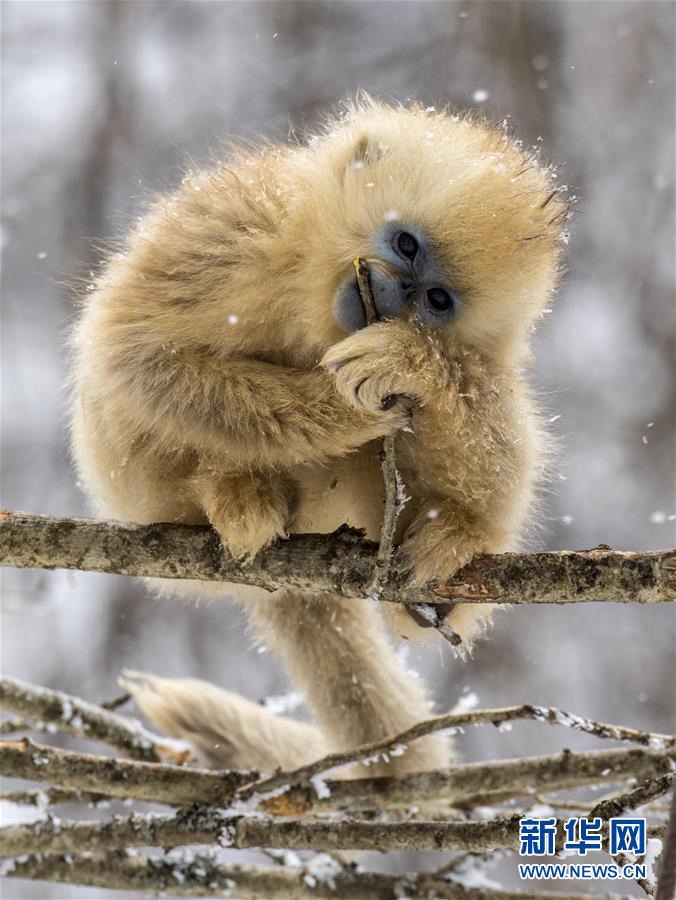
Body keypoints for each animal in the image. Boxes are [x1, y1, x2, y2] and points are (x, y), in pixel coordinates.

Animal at [70, 96, 564, 772]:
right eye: (405, 243)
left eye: (436, 299)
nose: (399, 293)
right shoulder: (233, 231)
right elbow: (135, 354)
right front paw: (344, 410)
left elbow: (479, 399)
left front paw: (406, 361)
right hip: (136, 488)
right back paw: (234, 493)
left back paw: (450, 550)